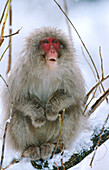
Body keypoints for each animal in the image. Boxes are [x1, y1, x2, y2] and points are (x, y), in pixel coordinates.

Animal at [1, 26, 87, 161]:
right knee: (16, 113)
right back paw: (30, 148)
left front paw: (51, 110)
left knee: (70, 110)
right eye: (46, 42)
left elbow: (73, 96)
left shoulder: (70, 71)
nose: (52, 51)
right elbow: (16, 99)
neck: (47, 68)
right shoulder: (21, 70)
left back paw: (53, 145)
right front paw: (39, 115)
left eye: (55, 42)